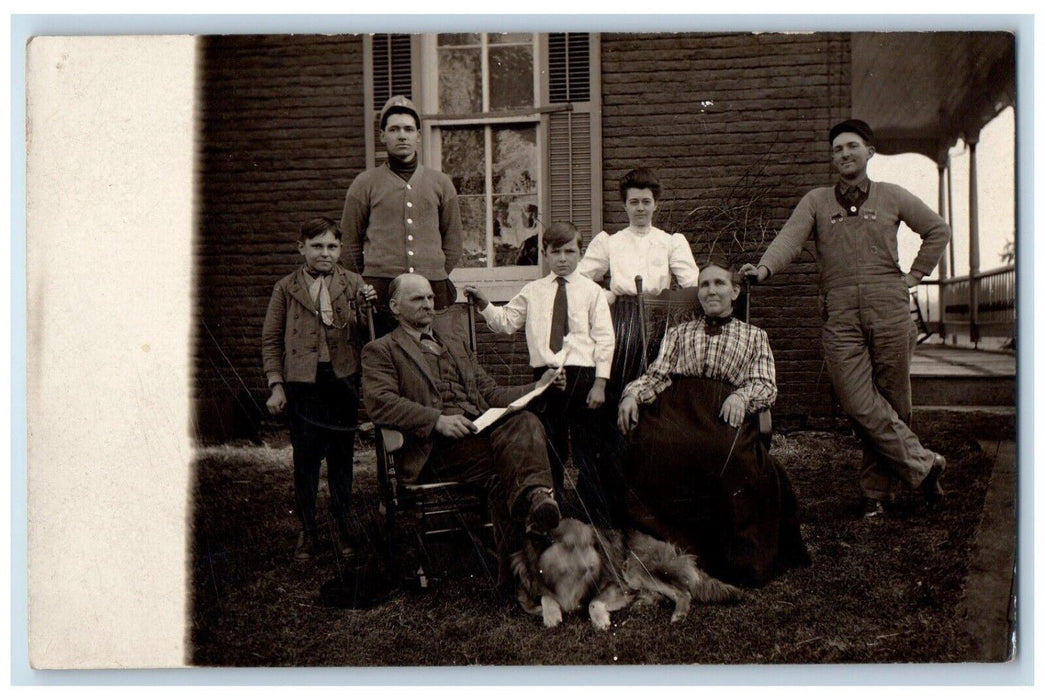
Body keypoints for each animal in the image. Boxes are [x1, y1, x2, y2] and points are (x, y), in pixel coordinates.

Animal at [507, 520, 739, 631]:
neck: (567, 581)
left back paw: (678, 614)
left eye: (592, 544)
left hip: (635, 569)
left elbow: (593, 602)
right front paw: (551, 614)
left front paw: (601, 620)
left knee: (682, 592)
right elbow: (543, 598)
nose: (595, 566)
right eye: (571, 547)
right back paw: (642, 603)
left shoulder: (616, 586)